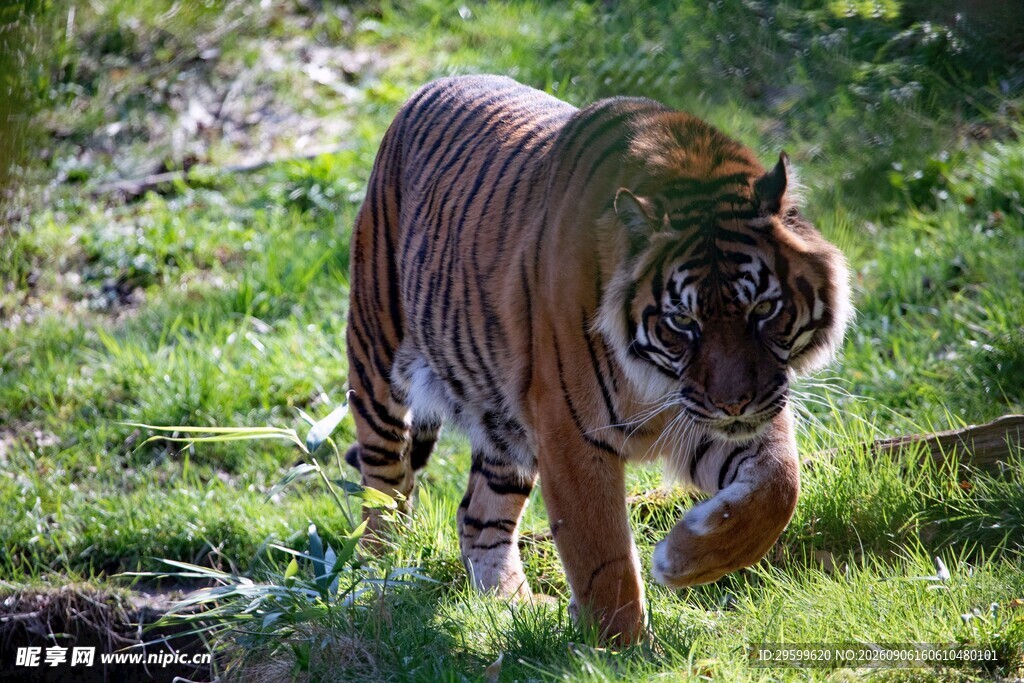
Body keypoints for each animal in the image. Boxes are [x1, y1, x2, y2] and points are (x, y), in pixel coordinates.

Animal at [344, 74, 851, 644]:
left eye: (763, 309)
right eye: (683, 321)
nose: (734, 404)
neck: (655, 380)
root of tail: (434, 83)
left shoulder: (716, 414)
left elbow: (779, 487)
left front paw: (683, 561)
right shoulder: (572, 433)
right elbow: (601, 554)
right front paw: (620, 647)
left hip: (503, 426)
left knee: (477, 514)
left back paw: (510, 604)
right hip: (377, 365)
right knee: (382, 492)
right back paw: (377, 582)